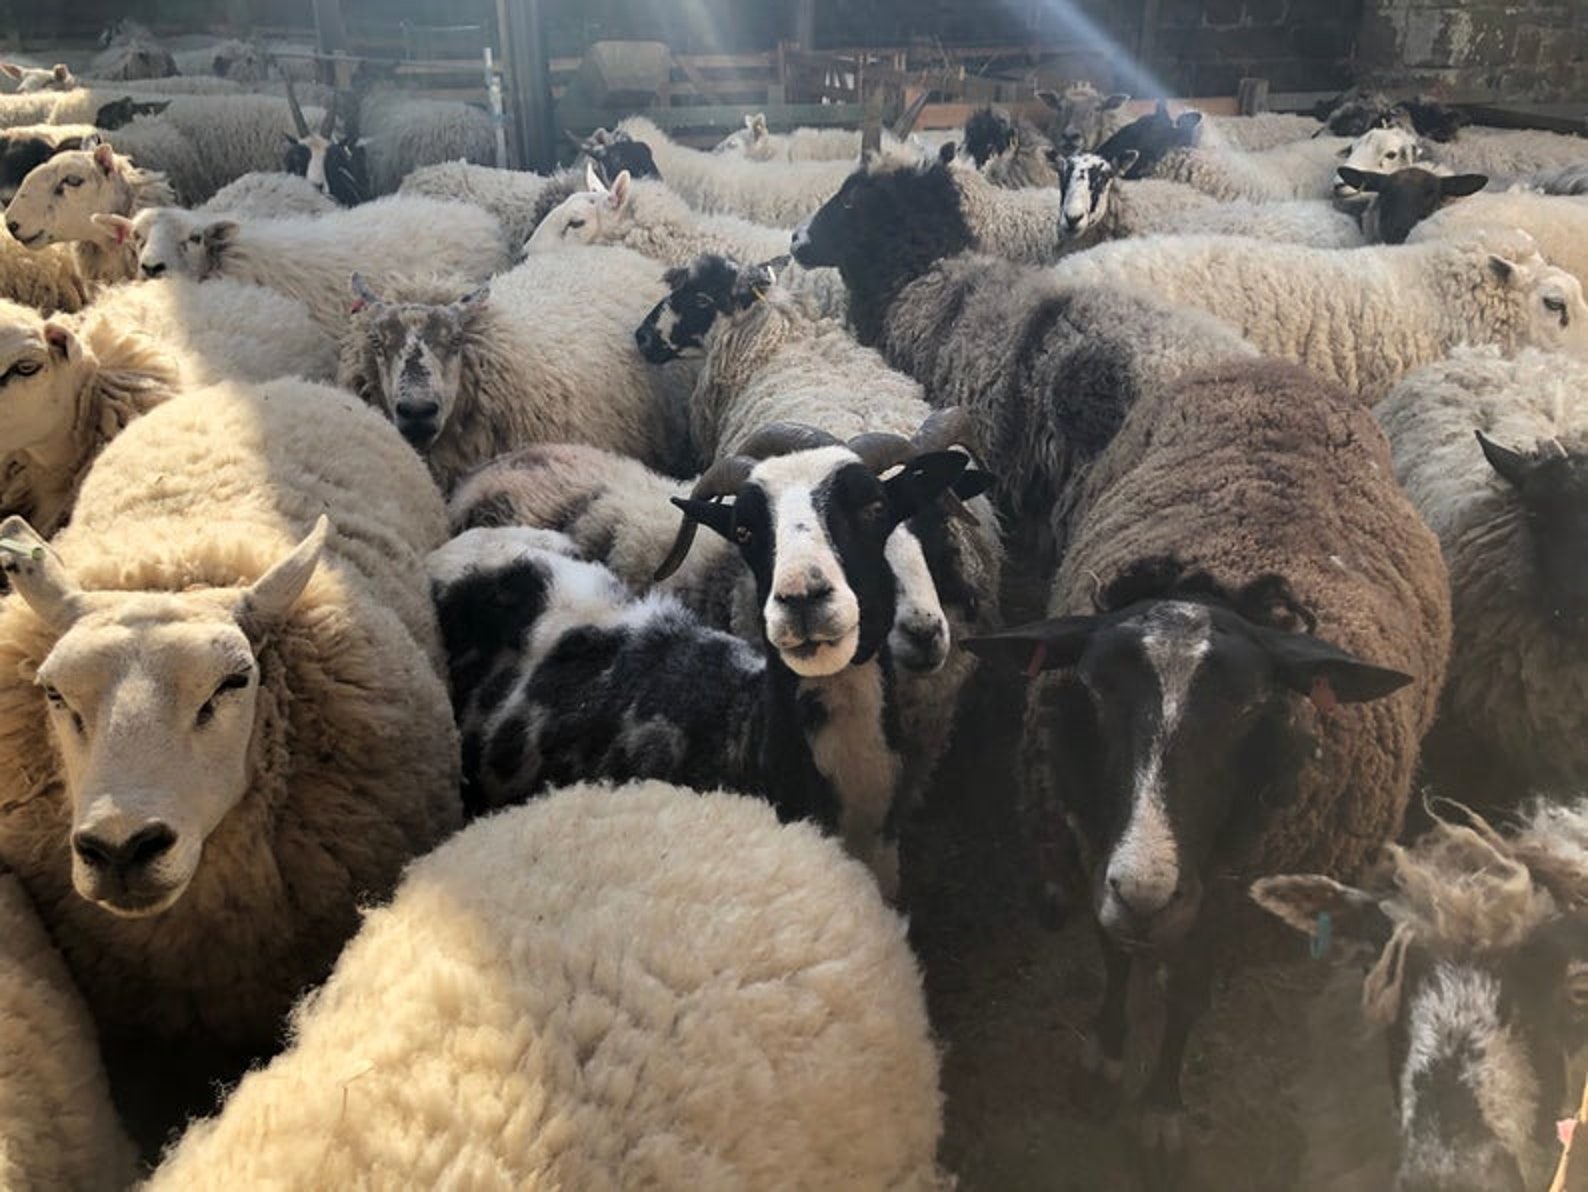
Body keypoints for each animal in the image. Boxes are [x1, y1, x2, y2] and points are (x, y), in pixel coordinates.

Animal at [966, 357, 1449, 1165]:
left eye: (1251, 708)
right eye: (1093, 689)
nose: (1146, 891)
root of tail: (1270, 363)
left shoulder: (1229, 897)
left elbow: (1189, 992)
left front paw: (1162, 1105)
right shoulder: (1099, 851)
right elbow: (1114, 955)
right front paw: (1106, 1059)